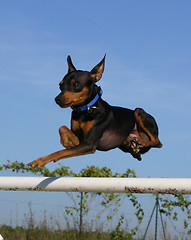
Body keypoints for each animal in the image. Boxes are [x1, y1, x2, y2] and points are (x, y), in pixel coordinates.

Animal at [30, 55, 163, 168]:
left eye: (76, 85)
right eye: (60, 85)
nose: (57, 99)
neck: (85, 110)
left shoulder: (89, 144)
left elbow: (60, 152)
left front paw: (40, 161)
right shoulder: (80, 142)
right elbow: (62, 129)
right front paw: (66, 142)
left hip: (138, 112)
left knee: (158, 142)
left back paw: (140, 142)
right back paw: (134, 148)